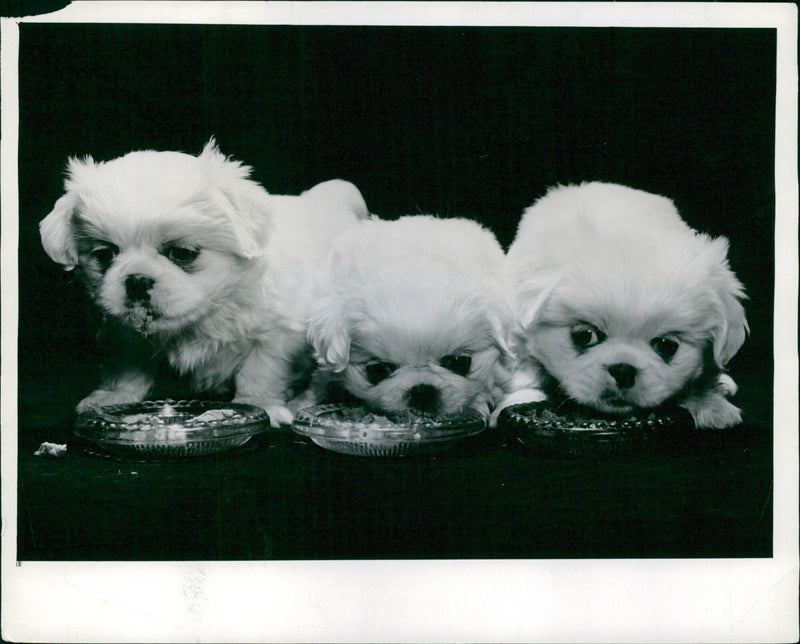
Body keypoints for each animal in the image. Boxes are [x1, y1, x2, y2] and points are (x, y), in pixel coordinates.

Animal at [39, 138, 368, 426]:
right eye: (105, 254)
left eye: (182, 253)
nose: (137, 280)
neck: (208, 310)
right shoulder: (125, 333)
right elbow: (128, 367)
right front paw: (115, 397)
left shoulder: (277, 335)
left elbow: (261, 371)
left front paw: (259, 404)